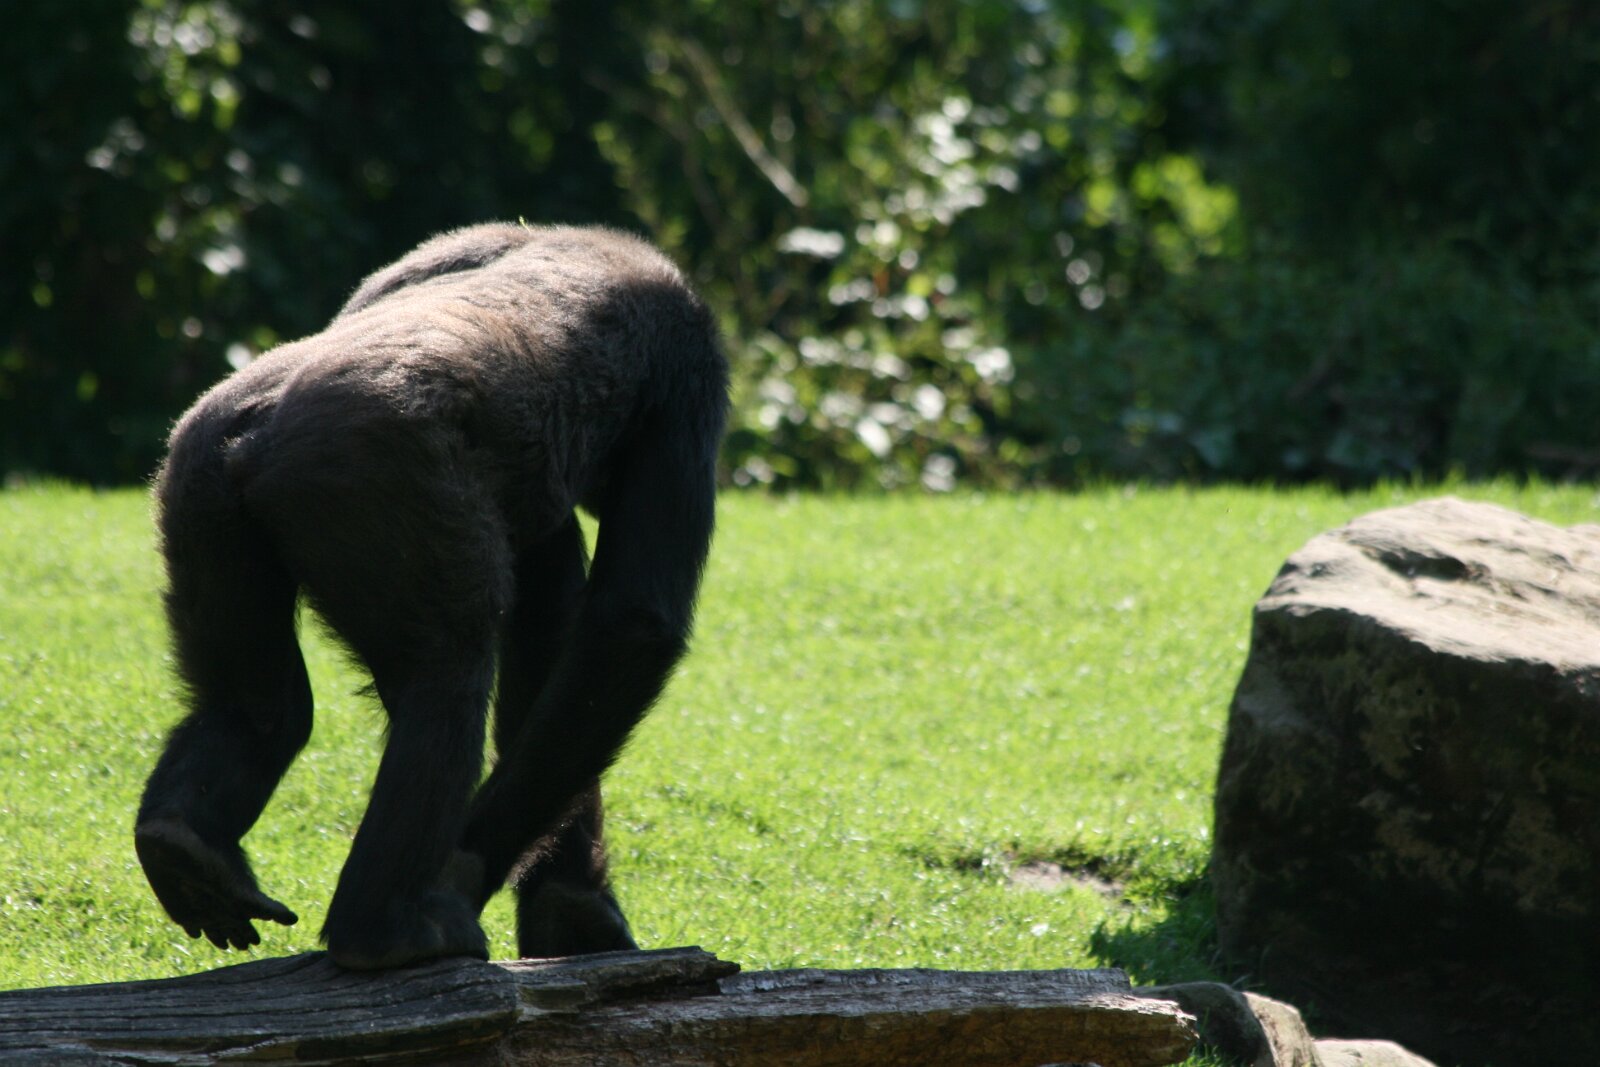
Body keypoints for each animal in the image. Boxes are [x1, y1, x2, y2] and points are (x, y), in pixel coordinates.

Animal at [133, 223, 727, 969]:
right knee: (449, 676)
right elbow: (631, 624)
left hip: (198, 486)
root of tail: (252, 435)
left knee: (261, 706)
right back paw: (383, 929)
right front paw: (480, 873)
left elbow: (553, 638)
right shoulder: (688, 372)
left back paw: (182, 839)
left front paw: (566, 903)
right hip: (369, 477)